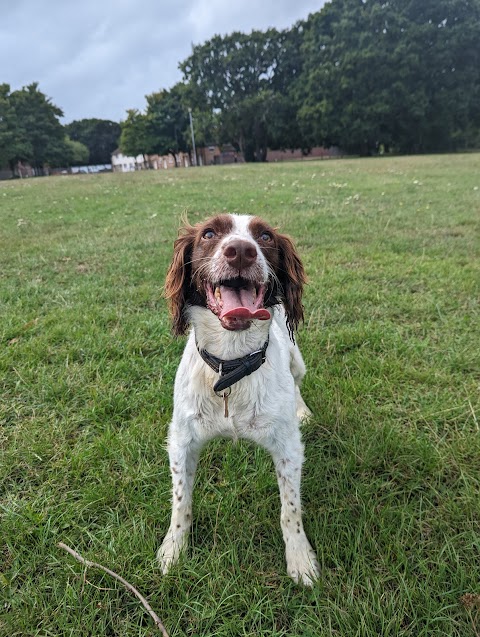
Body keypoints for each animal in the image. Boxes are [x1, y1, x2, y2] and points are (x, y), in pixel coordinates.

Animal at [159, 214, 320, 588]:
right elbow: (181, 501)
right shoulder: (181, 440)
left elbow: (290, 510)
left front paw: (300, 559)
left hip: (296, 359)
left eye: (265, 236)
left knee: (298, 381)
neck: (231, 366)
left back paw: (302, 409)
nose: (241, 251)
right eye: (208, 233)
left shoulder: (288, 448)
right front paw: (173, 550)